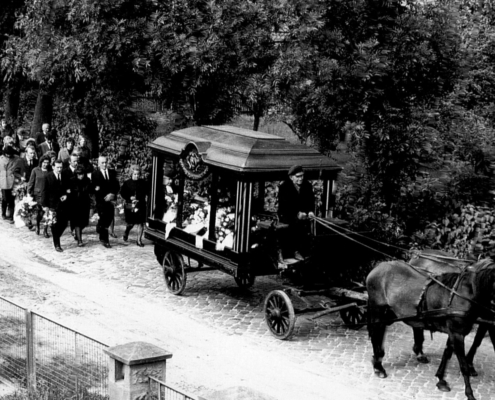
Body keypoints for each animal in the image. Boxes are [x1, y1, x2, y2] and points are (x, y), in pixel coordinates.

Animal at [366, 258, 495, 398]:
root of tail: (378, 267)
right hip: (378, 310)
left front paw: (441, 380)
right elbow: (463, 365)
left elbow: (447, 353)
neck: (464, 293)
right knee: (376, 334)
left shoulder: (453, 332)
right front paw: (469, 393)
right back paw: (378, 367)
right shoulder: (457, 333)